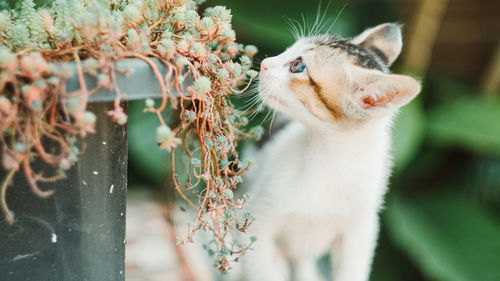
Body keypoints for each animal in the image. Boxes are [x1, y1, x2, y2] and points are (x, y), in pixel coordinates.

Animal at [236, 22, 420, 280]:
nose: (265, 63)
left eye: (299, 66)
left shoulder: (361, 231)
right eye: (290, 48)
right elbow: (263, 271)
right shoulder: (256, 222)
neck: (327, 158)